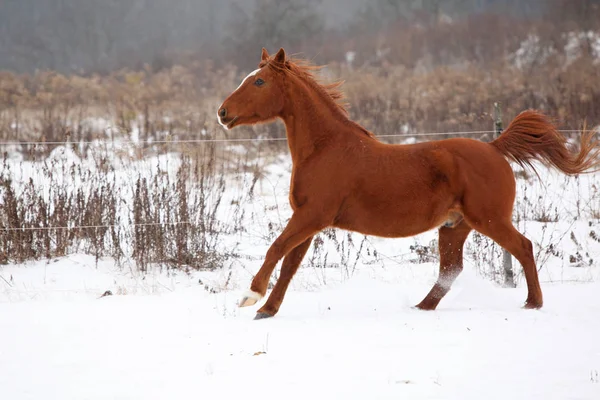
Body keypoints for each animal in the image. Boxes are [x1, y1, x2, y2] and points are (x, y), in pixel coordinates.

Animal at [218, 47, 596, 320]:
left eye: (259, 82)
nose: (222, 113)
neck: (326, 148)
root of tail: (493, 147)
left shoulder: (312, 216)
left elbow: (276, 250)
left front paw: (249, 297)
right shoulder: (309, 221)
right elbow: (289, 264)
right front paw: (267, 310)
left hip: (488, 219)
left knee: (523, 247)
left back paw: (533, 303)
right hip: (454, 226)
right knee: (451, 269)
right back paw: (421, 307)